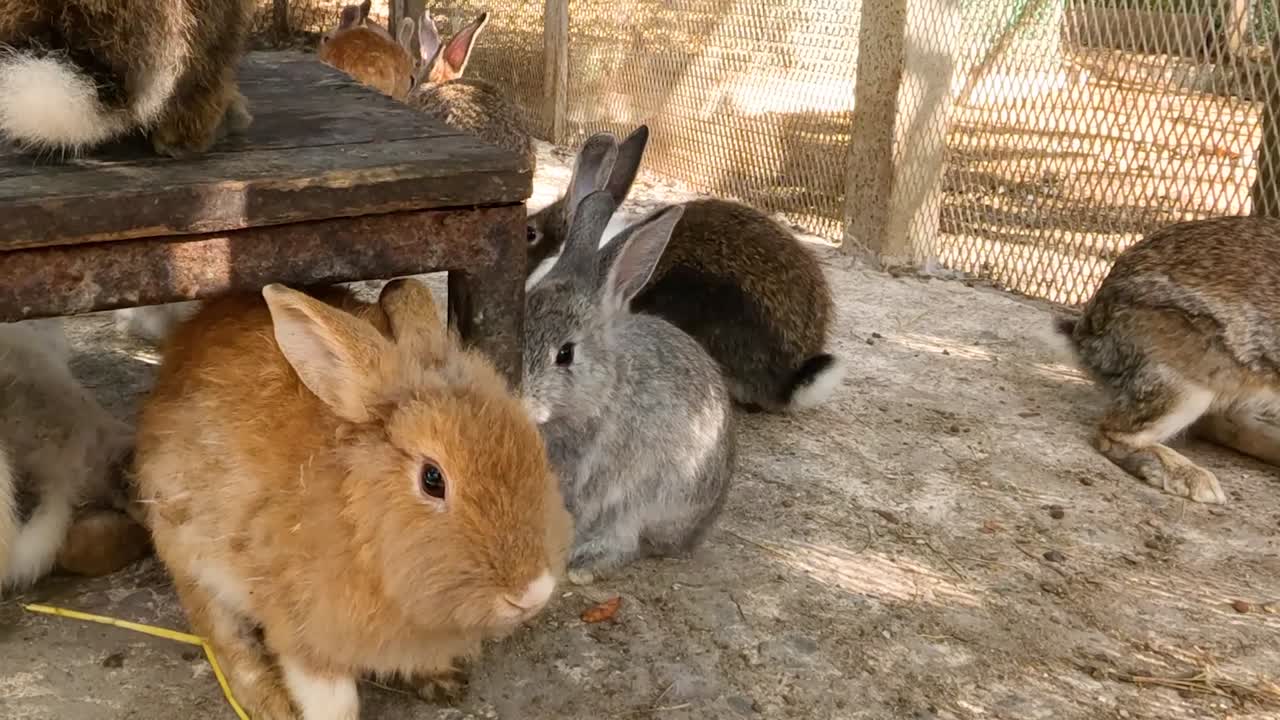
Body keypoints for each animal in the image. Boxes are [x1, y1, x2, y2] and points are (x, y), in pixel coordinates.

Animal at [134, 278, 572, 719]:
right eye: (433, 479)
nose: (533, 592)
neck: (360, 522)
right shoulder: (304, 630)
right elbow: (333, 699)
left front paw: (439, 679)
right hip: (192, 553)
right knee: (226, 640)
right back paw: (269, 703)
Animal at [523, 189, 735, 586]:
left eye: (565, 354)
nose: (519, 397)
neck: (604, 393)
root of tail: (698, 531)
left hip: (648, 504)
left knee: (628, 543)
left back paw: (584, 565)